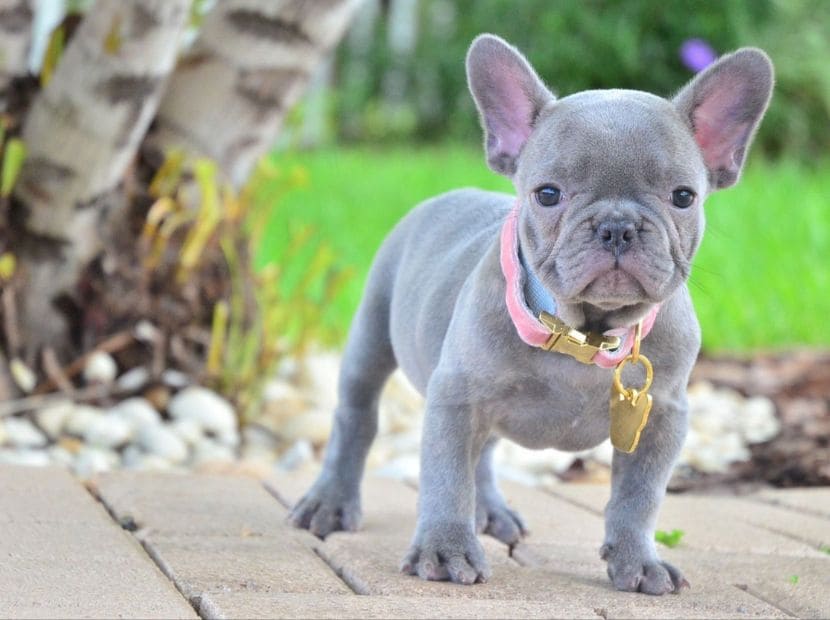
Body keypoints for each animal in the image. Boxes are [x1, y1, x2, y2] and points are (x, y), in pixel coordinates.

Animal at [290, 35, 772, 596]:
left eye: (683, 197)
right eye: (548, 194)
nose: (617, 226)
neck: (584, 333)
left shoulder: (661, 417)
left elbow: (639, 497)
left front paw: (638, 560)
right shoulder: (456, 397)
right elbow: (446, 477)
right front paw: (445, 550)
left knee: (483, 453)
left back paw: (492, 512)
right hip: (371, 341)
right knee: (357, 419)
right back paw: (330, 502)